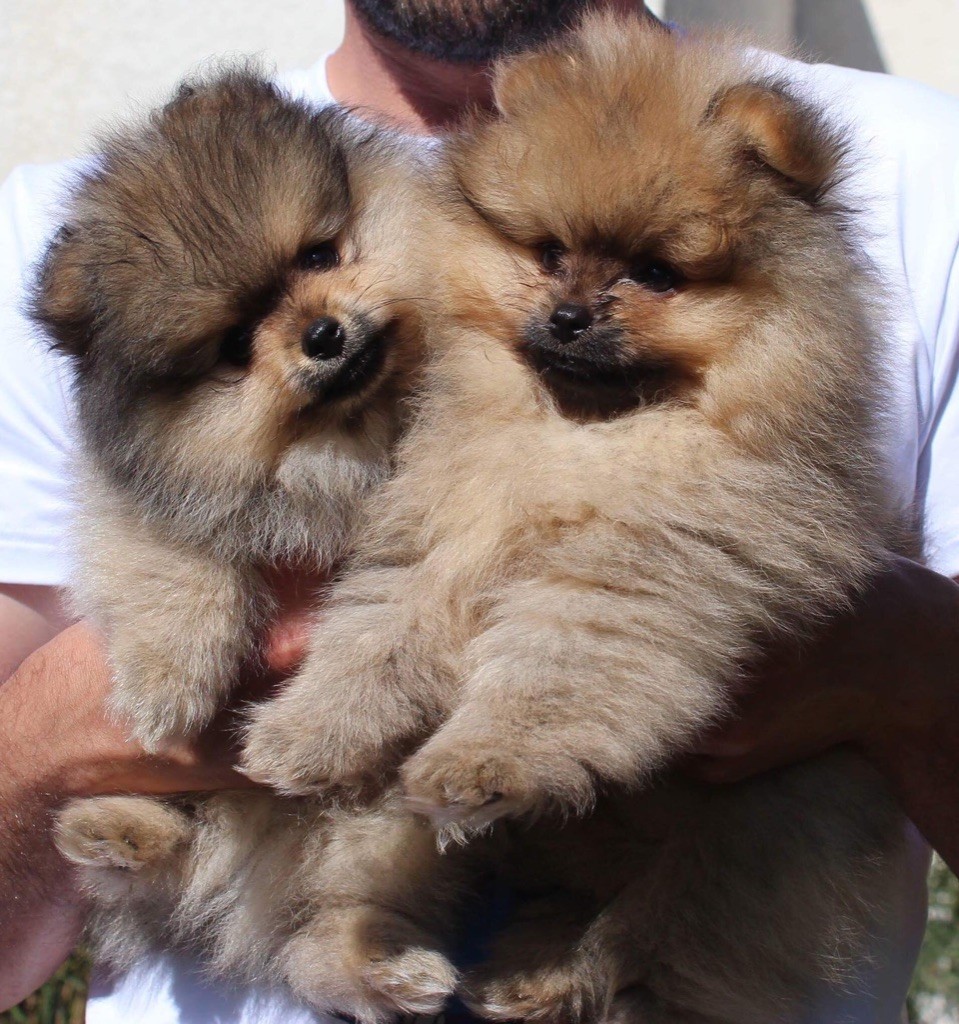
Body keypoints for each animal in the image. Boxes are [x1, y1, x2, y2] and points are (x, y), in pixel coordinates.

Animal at [36, 70, 474, 1015]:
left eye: (316, 257)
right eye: (233, 345)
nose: (323, 334)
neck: (342, 440)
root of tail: (241, 896)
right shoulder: (146, 498)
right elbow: (171, 562)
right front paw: (170, 685)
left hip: (371, 828)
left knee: (325, 929)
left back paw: (382, 967)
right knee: (146, 865)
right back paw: (114, 828)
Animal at [241, 16, 912, 1024]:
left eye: (654, 274)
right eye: (550, 254)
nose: (565, 316)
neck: (576, 437)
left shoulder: (630, 575)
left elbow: (547, 676)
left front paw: (481, 763)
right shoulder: (440, 537)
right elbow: (373, 639)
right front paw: (305, 729)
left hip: (749, 847)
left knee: (658, 948)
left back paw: (556, 976)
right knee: (358, 901)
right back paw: (405, 967)